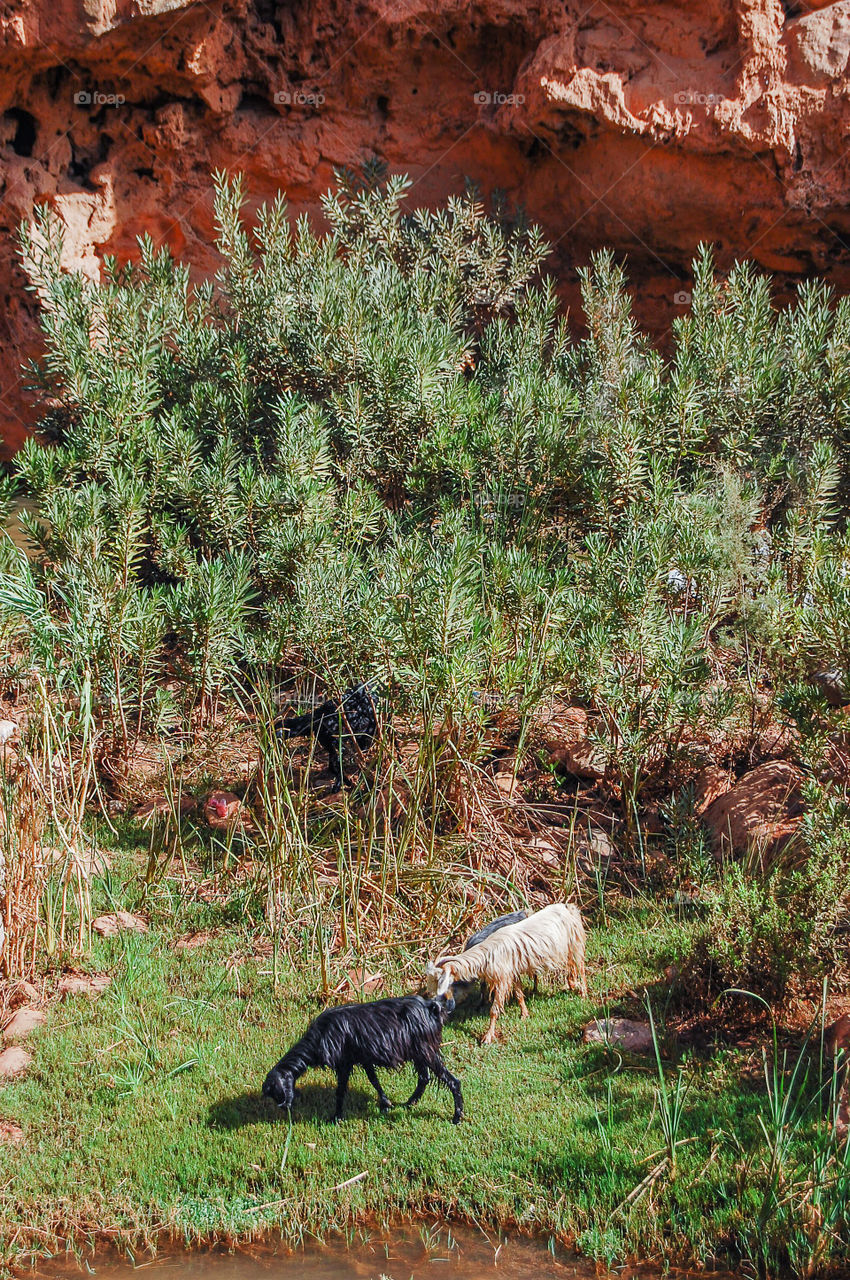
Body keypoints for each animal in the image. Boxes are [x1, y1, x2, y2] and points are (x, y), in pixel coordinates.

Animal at [266, 993, 465, 1126]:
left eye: (276, 1091)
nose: (284, 1108)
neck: (320, 1036)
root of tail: (432, 1007)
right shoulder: (364, 1058)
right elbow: (374, 1080)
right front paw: (386, 1103)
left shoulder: (344, 1063)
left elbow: (340, 1090)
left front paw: (336, 1117)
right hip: (419, 1052)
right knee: (424, 1077)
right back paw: (409, 1103)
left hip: (426, 1051)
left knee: (452, 1081)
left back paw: (456, 1117)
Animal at [422, 906, 583, 1044]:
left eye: (441, 985)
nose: (439, 1010)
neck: (487, 954)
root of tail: (568, 907)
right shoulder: (512, 972)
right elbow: (518, 993)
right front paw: (524, 1014)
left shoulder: (502, 979)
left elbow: (494, 1010)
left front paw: (487, 1037)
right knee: (571, 967)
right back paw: (569, 985)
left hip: (575, 942)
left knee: (580, 966)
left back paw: (583, 993)